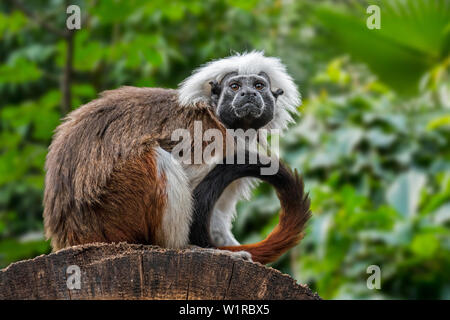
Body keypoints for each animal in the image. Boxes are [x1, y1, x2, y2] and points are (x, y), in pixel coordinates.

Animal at [44, 51, 308, 262]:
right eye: (235, 86)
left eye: (259, 85)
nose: (248, 94)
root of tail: (72, 235)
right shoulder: (209, 138)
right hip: (114, 212)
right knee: (157, 157)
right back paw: (182, 247)